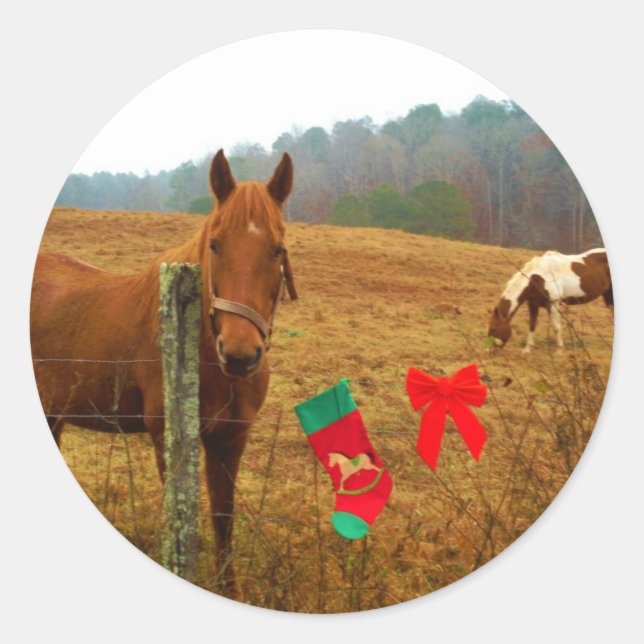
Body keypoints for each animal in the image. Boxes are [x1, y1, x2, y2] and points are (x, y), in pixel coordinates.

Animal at [30, 150, 297, 596]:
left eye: (277, 249)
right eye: (215, 245)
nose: (240, 355)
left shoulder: (231, 439)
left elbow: (223, 520)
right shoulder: (170, 438)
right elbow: (181, 518)